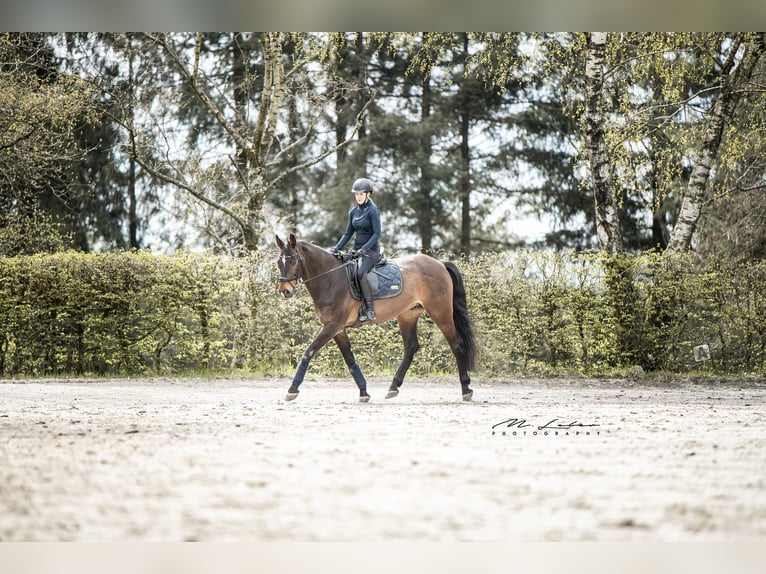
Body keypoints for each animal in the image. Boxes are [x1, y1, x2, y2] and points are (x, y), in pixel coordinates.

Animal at [276, 234, 480, 404]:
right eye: (279, 262)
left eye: (293, 260)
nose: (285, 291)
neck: (331, 278)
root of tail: (439, 264)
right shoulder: (337, 329)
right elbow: (349, 359)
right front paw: (363, 392)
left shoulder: (332, 326)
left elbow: (308, 352)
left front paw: (292, 389)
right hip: (408, 315)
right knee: (411, 347)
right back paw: (393, 387)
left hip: (440, 312)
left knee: (457, 344)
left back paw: (466, 389)